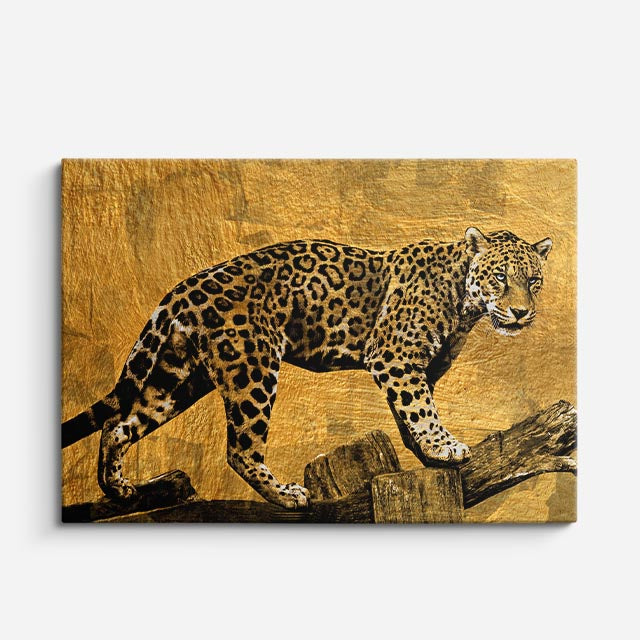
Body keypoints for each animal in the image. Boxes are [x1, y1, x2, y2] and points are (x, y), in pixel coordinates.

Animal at [62, 227, 552, 510]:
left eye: (533, 281)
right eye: (500, 278)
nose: (522, 313)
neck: (464, 302)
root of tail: (183, 288)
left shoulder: (415, 369)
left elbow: (410, 414)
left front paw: (427, 455)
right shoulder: (395, 357)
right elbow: (421, 411)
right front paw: (444, 447)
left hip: (177, 376)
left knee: (119, 425)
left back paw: (117, 488)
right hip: (253, 368)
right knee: (239, 450)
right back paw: (287, 495)